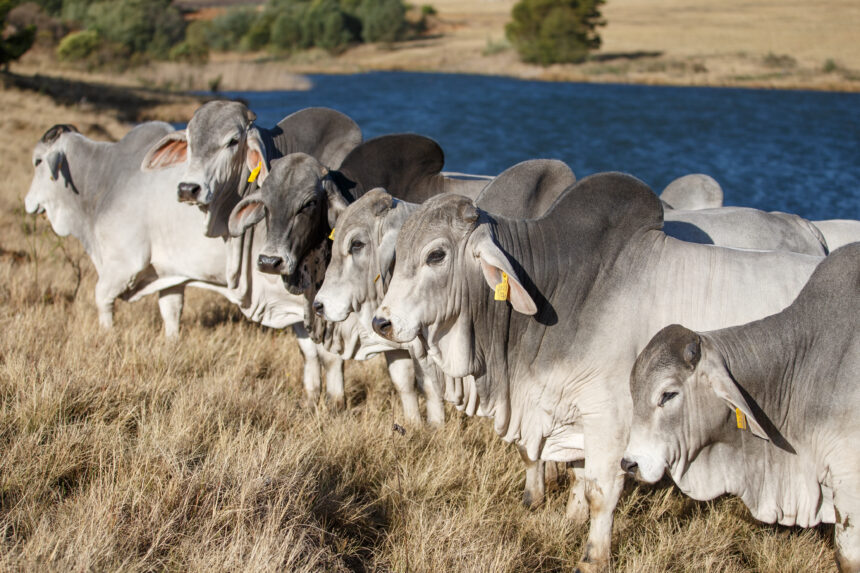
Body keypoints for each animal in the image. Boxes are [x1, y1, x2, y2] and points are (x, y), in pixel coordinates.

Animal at [25, 120, 232, 336]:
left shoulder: (124, 263)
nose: (28, 202)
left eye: (37, 161)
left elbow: (101, 297)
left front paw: (106, 334)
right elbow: (172, 311)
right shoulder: (170, 273)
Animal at [140, 101, 360, 406]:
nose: (188, 189)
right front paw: (311, 397)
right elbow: (308, 350)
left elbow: (330, 354)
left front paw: (335, 402)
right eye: (190, 139)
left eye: (233, 141)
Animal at [372, 174, 824, 572]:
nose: (381, 322)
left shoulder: (613, 421)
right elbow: (577, 476)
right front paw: (568, 522)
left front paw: (592, 558)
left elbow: (600, 492)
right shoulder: (571, 413)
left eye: (436, 255)